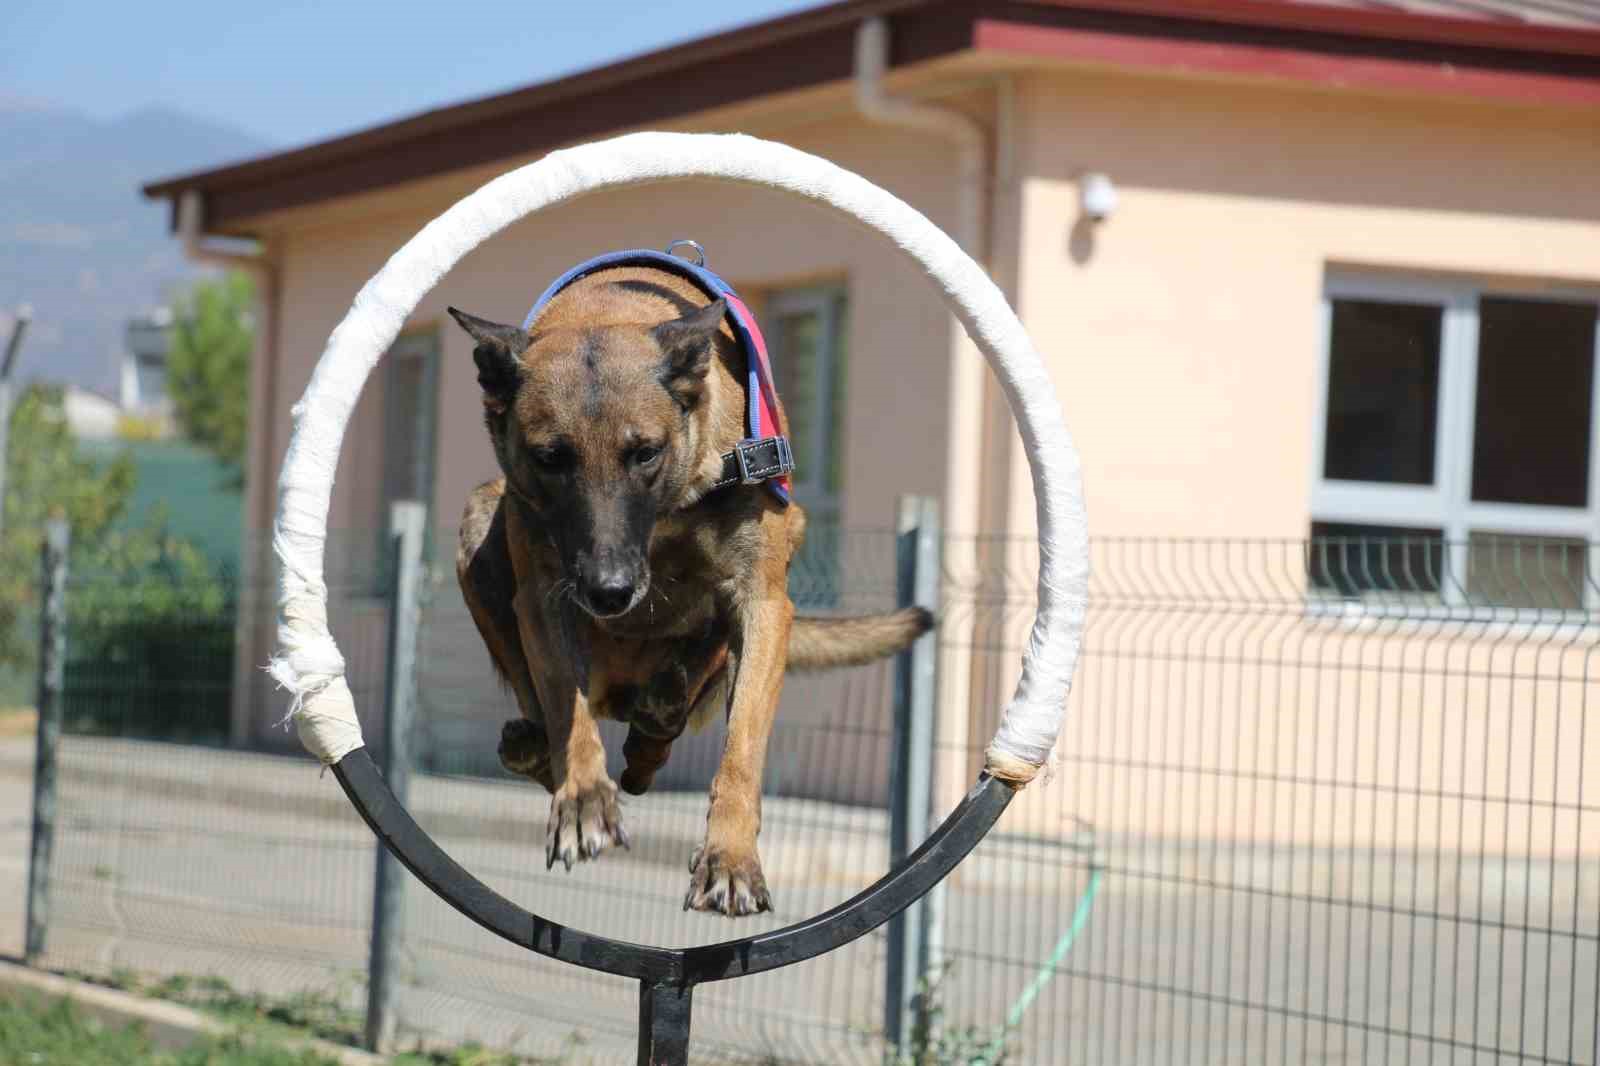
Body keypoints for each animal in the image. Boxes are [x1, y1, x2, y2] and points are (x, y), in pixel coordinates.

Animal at [448, 257, 928, 915]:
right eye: (551, 458)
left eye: (644, 453)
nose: (610, 593)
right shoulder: (544, 598)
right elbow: (567, 709)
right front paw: (583, 798)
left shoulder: (762, 602)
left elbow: (742, 749)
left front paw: (731, 858)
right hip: (479, 520)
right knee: (546, 719)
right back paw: (549, 745)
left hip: (791, 540)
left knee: (683, 688)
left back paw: (663, 707)